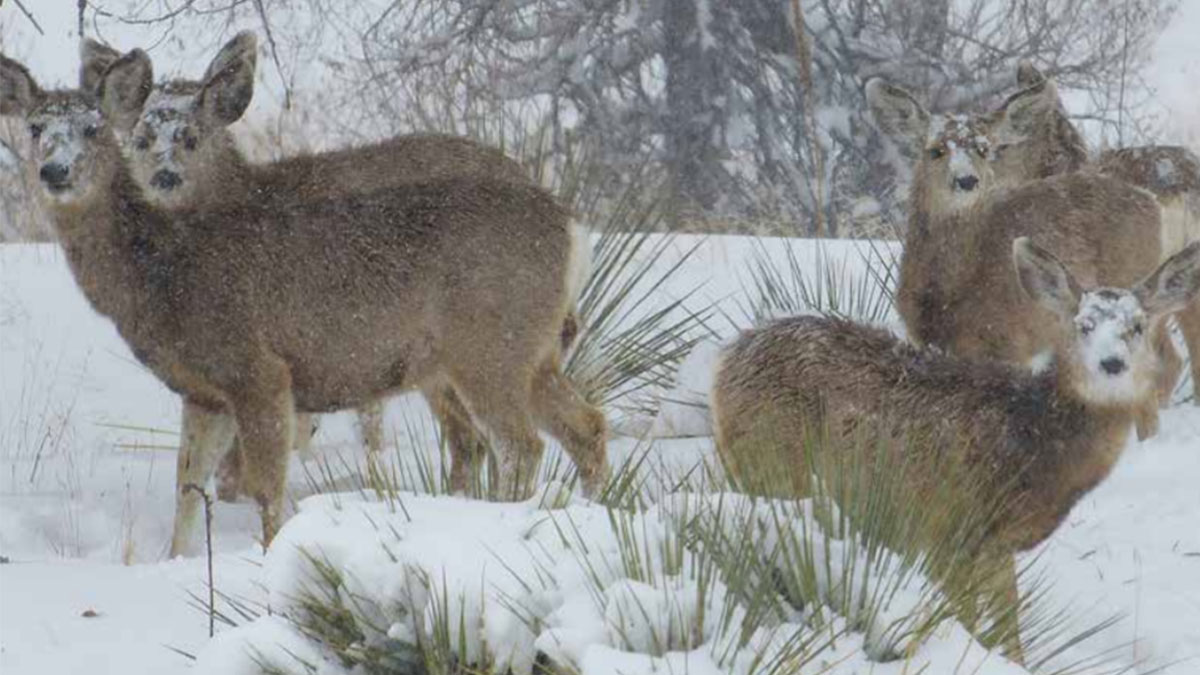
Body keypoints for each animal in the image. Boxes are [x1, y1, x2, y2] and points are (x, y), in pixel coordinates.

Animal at [1, 51, 608, 558]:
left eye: (93, 128)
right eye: (35, 128)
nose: (55, 171)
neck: (166, 273)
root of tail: (574, 230)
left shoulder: (259, 368)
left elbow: (266, 488)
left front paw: (271, 558)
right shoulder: (204, 392)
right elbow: (188, 489)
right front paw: (172, 564)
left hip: (487, 347)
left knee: (519, 444)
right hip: (530, 354)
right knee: (587, 425)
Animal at [712, 236, 1200, 663]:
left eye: (1137, 326)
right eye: (1083, 326)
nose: (1111, 364)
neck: (1032, 440)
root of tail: (725, 361)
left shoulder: (994, 545)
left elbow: (1009, 628)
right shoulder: (949, 524)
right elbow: (965, 619)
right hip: (772, 461)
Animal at [866, 77, 1174, 439]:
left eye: (984, 149)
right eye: (936, 150)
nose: (967, 180)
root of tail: (1152, 202)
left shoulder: (1010, 343)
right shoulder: (923, 339)